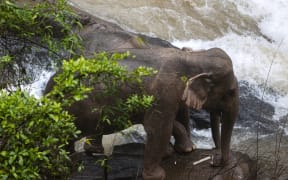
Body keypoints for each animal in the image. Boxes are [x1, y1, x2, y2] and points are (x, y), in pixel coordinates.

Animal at [45, 46, 238, 180]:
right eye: (230, 92)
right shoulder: (165, 92)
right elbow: (158, 128)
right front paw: (158, 175)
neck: (194, 57)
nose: (214, 161)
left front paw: (180, 150)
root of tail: (49, 89)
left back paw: (94, 152)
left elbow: (163, 123)